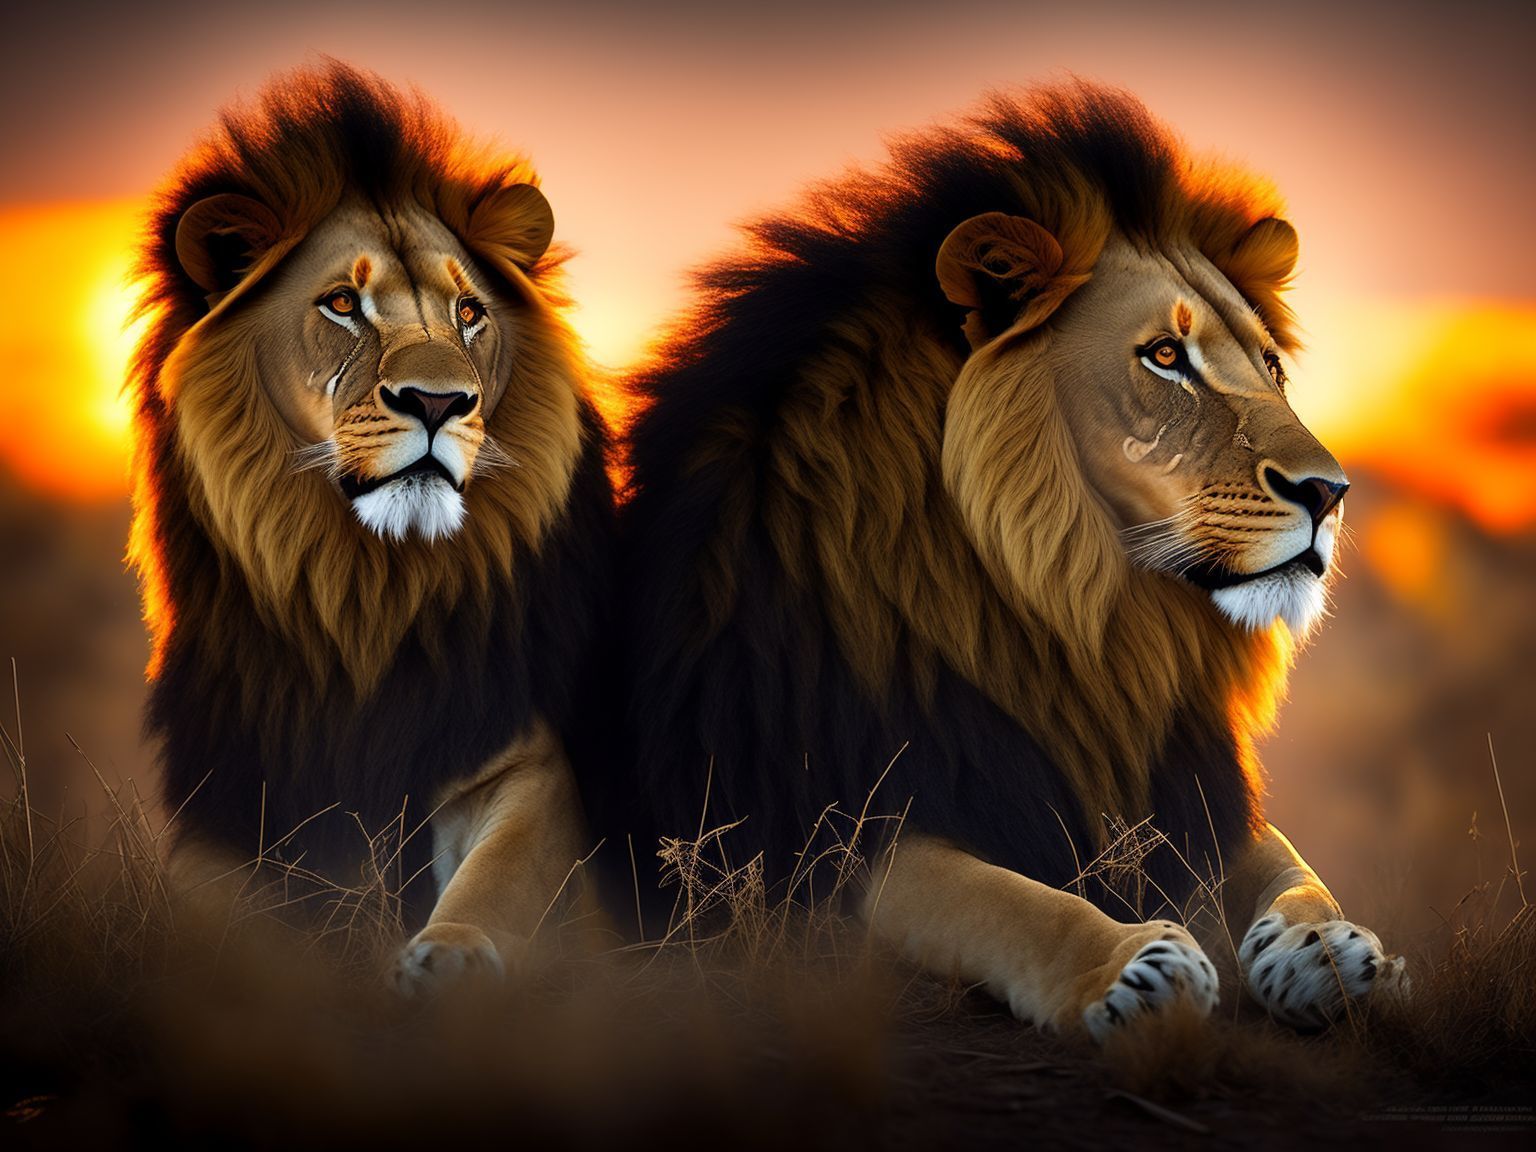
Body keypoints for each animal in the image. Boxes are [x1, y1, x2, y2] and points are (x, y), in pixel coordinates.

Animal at [128, 62, 613, 992]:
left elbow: (501, 872)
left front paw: (449, 959)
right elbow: (206, 914)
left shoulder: (525, 759)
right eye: (343, 304)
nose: (439, 401)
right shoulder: (233, 792)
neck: (367, 588)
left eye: (469, 313)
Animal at [605, 82, 1405, 1037]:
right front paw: (1134, 967)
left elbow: (1293, 872)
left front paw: (1331, 951)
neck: (1079, 629)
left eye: (1273, 368)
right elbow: (1008, 901)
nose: (1331, 492)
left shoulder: (1189, 790)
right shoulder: (828, 840)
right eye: (1164, 356)